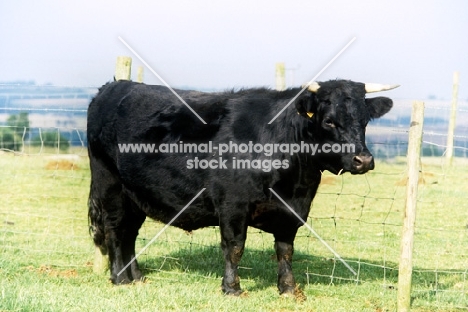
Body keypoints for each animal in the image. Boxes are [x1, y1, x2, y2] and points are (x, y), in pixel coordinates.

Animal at [86, 79, 396, 296]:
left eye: (365, 121)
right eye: (329, 120)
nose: (363, 160)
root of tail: (113, 86)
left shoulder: (293, 210)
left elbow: (285, 250)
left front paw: (288, 289)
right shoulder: (232, 205)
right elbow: (234, 247)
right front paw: (232, 288)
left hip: (135, 195)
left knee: (130, 233)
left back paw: (136, 277)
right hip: (109, 185)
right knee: (115, 230)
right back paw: (120, 278)